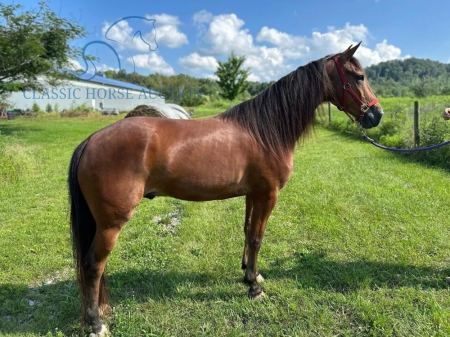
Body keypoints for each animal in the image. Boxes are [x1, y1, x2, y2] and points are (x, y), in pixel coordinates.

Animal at [67, 42, 384, 334]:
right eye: (358, 76)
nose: (376, 115)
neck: (263, 131)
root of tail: (91, 141)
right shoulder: (268, 195)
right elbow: (257, 237)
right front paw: (254, 288)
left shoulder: (253, 195)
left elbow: (247, 231)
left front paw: (249, 273)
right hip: (111, 224)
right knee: (93, 265)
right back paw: (96, 324)